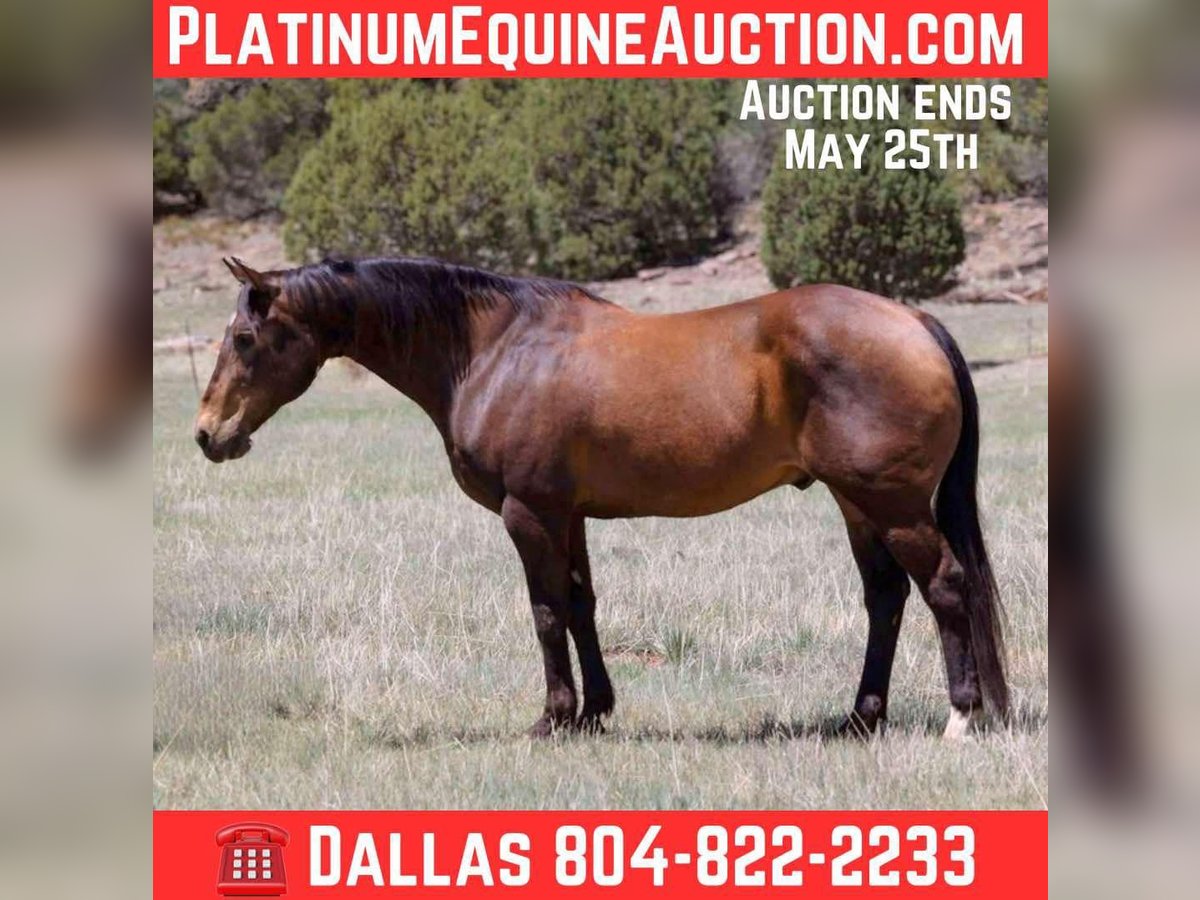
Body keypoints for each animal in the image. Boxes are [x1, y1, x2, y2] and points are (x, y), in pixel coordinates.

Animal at [195, 256, 1007, 740]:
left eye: (244, 338)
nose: (209, 435)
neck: (495, 351)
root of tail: (915, 322)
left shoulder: (528, 513)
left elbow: (546, 611)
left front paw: (552, 719)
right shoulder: (568, 515)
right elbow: (583, 606)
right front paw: (594, 712)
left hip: (892, 504)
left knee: (944, 586)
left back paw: (962, 716)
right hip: (856, 503)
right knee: (886, 598)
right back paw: (861, 718)